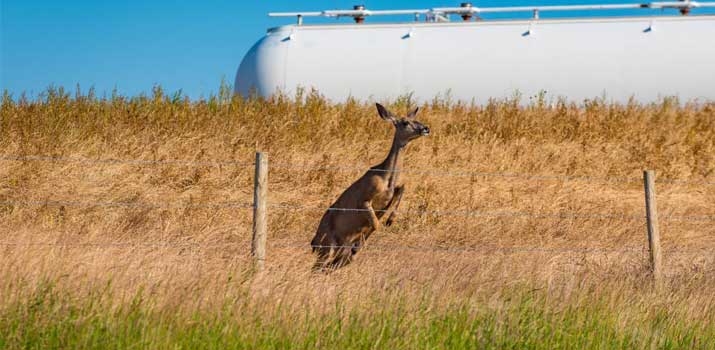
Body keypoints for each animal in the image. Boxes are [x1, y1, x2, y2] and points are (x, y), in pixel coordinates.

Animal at [310, 102, 430, 272]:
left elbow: (401, 192)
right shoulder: (364, 199)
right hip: (327, 246)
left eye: (416, 119)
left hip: (337, 253)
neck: (387, 179)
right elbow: (376, 224)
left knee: (330, 266)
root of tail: (313, 242)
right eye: (405, 122)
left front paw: (390, 220)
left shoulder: (397, 188)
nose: (426, 128)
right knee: (319, 266)